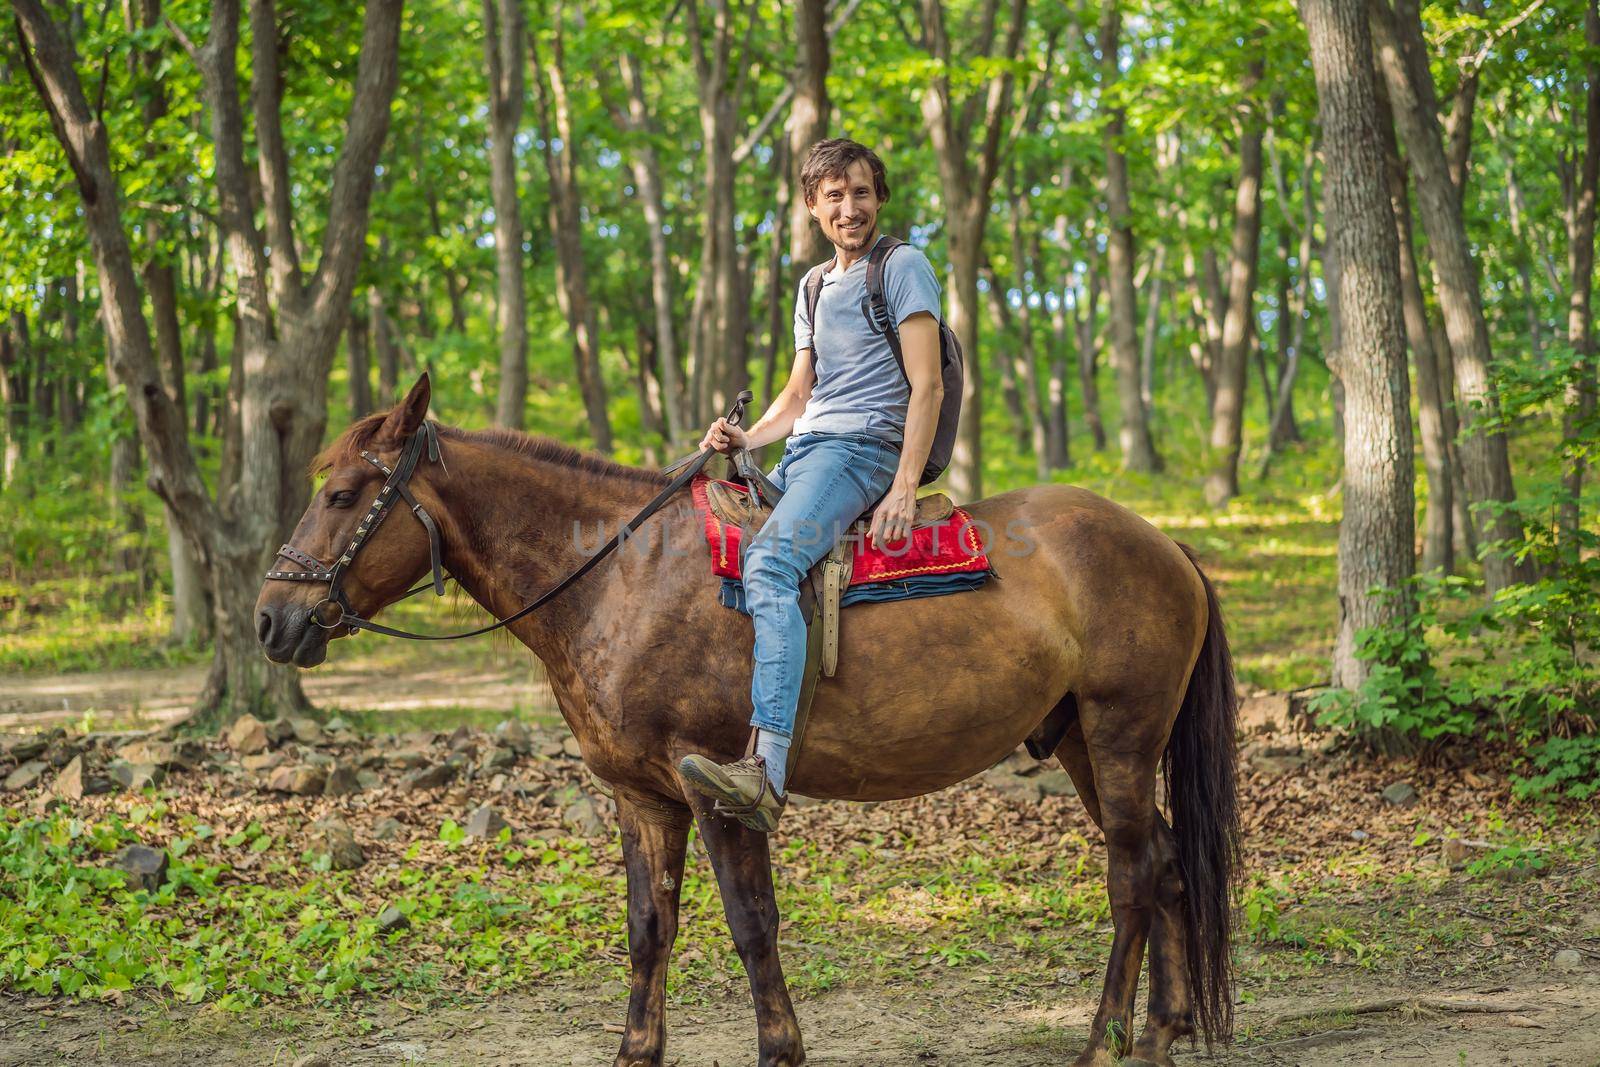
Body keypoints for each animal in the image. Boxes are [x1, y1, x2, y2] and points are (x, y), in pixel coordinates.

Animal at [256, 379, 1241, 1067]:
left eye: (343, 494)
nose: (272, 618)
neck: (619, 576)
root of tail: (1166, 544)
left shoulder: (722, 788)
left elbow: (750, 922)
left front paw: (780, 1047)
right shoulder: (643, 798)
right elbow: (648, 928)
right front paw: (636, 1050)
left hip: (1120, 734)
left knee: (1133, 875)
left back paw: (1113, 1039)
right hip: (1078, 741)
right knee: (1165, 861)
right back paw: (1166, 1028)